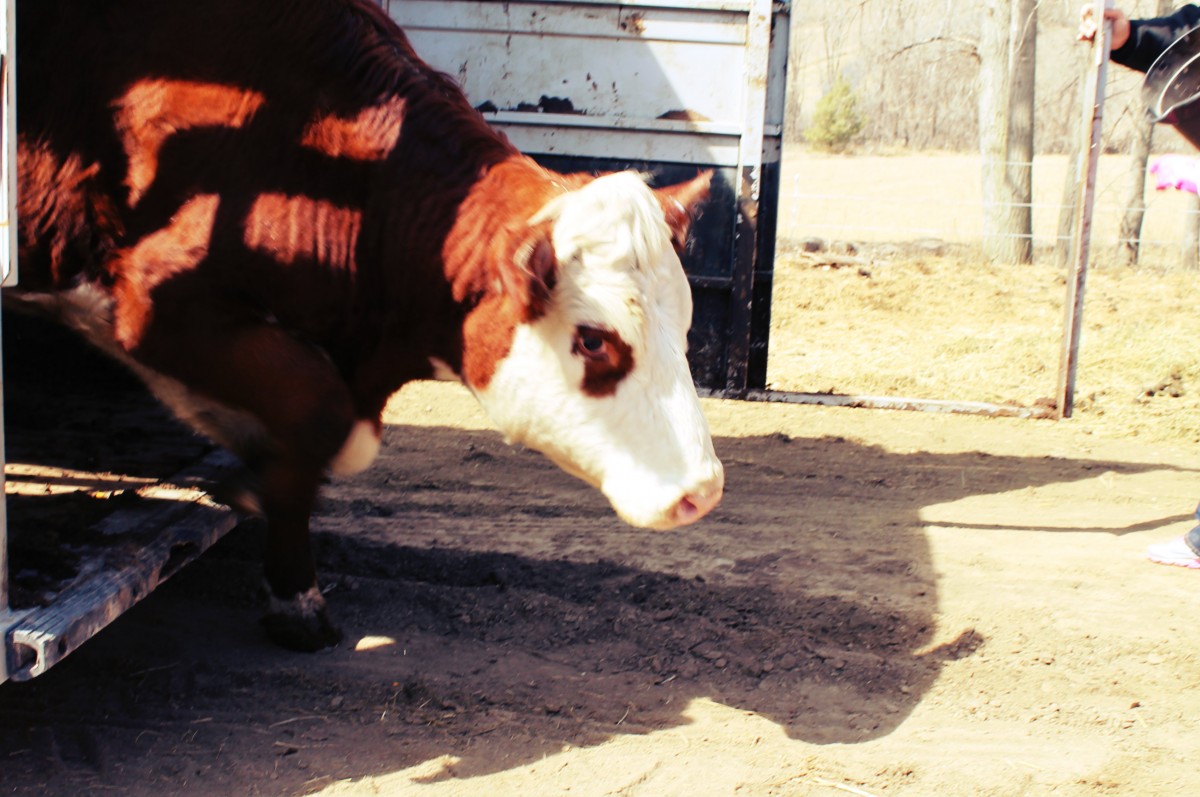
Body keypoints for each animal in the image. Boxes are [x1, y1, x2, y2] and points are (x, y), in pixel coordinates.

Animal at [11, 0, 720, 648]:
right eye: (594, 340)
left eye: (686, 326)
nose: (703, 491)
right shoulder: (154, 301)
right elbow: (314, 408)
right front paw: (286, 575)